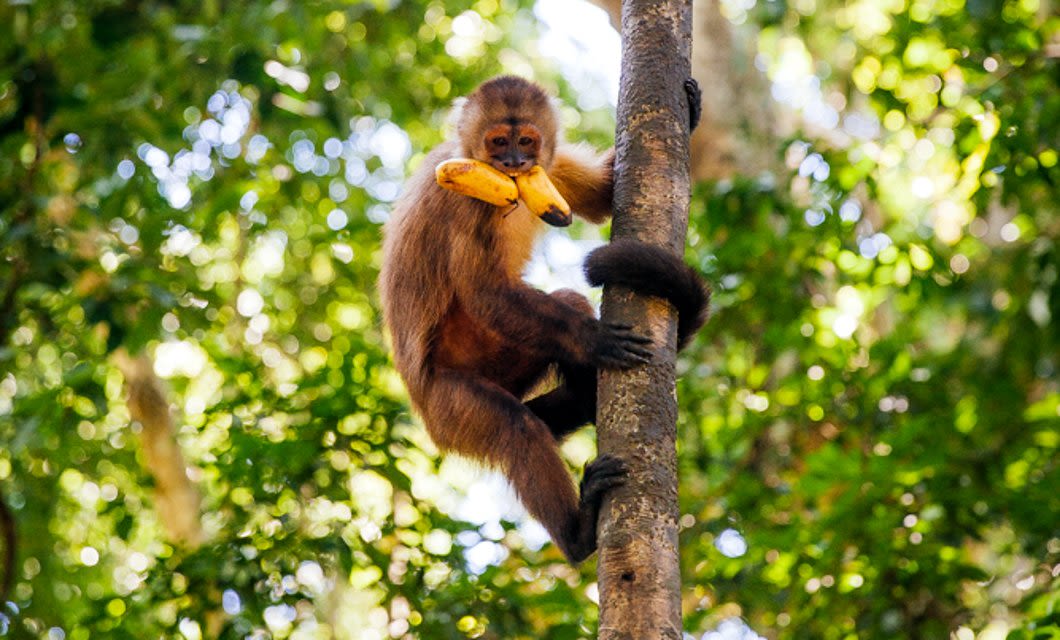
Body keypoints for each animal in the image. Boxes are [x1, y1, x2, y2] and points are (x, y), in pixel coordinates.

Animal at [378, 76, 708, 564]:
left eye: (526, 142)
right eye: (498, 143)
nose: (514, 164)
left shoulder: (546, 167)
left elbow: (604, 197)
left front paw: (691, 109)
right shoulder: (462, 198)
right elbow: (485, 294)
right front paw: (593, 340)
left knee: (566, 305)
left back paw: (587, 397)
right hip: (447, 402)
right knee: (517, 428)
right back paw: (580, 534)